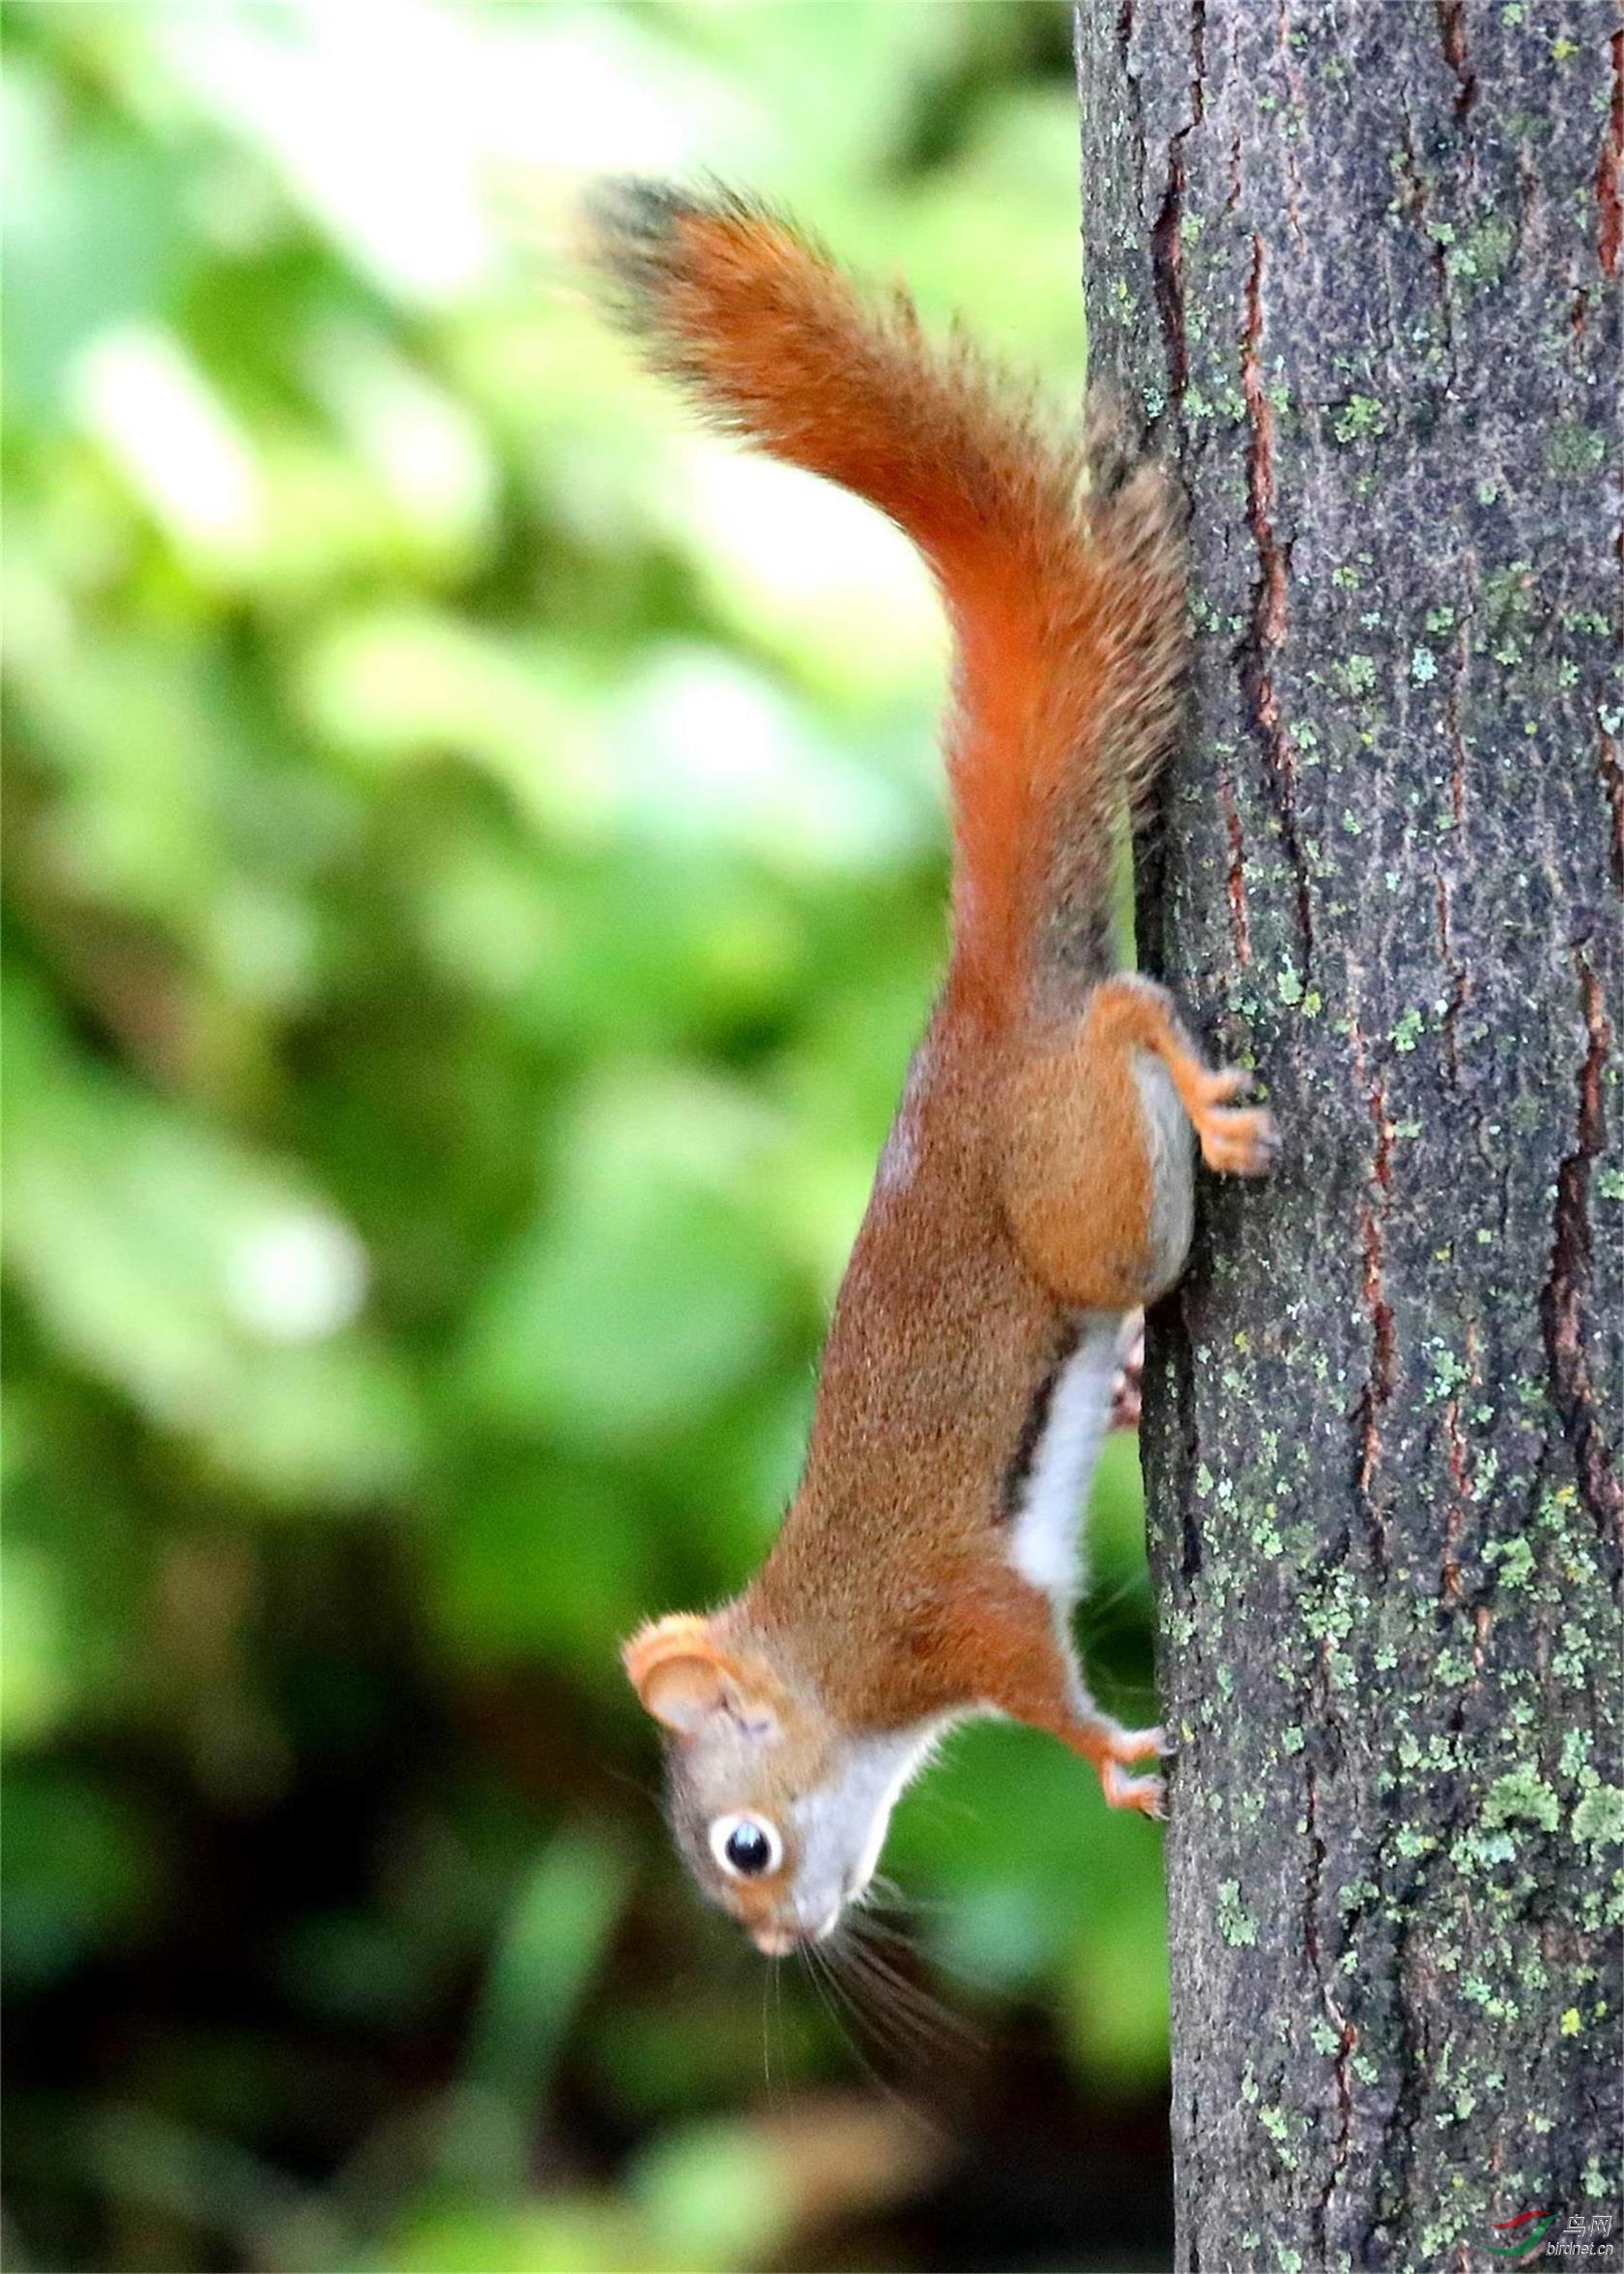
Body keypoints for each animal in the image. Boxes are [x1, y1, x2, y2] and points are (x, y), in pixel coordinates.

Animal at [582, 182, 1273, 1955]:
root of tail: (973, 1012)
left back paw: (1184, 1082)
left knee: (1122, 1018)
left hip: (1087, 1193)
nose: (782, 1942)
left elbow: (1037, 1683)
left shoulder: (950, 1615)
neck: (830, 1668)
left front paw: (1115, 1757)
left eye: (744, 1845)